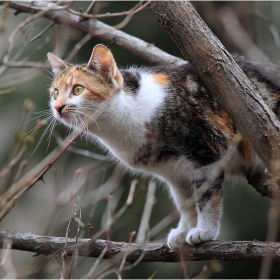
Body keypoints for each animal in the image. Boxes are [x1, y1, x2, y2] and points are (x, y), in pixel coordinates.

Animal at [47, 44, 280, 248]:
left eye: (78, 89)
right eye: (55, 92)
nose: (57, 107)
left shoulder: (205, 157)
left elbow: (206, 197)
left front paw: (204, 232)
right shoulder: (175, 173)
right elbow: (185, 202)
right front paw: (183, 231)